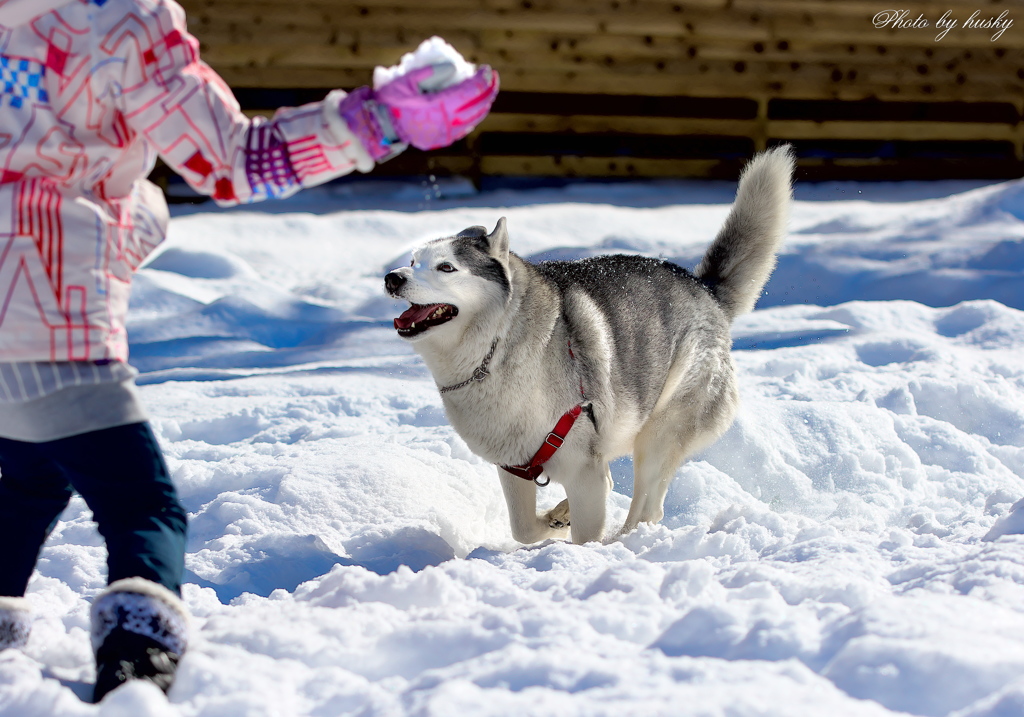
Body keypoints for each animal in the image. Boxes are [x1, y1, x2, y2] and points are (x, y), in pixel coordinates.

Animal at [387, 145, 794, 544]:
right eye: (413, 261)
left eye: (446, 267)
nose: (392, 277)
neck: (495, 350)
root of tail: (703, 288)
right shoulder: (516, 466)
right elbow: (523, 529)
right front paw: (555, 520)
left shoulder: (583, 466)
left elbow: (585, 535)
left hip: (660, 433)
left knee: (647, 507)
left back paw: (624, 540)